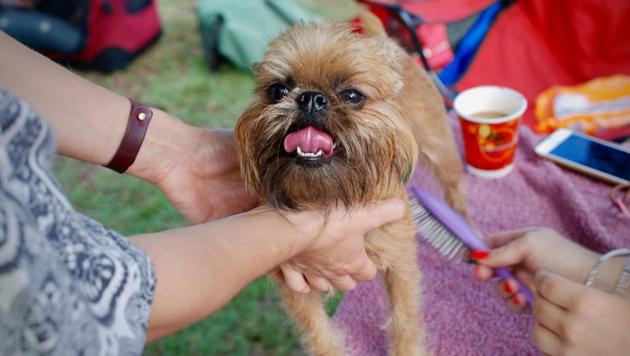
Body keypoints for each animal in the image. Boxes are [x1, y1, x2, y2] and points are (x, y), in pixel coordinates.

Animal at [236, 14, 470, 356]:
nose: (310, 98)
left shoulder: (400, 263)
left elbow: (404, 318)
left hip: (440, 147)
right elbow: (318, 332)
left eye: (352, 96)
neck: (330, 197)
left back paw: (463, 227)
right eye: (277, 90)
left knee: (455, 189)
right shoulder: (295, 282)